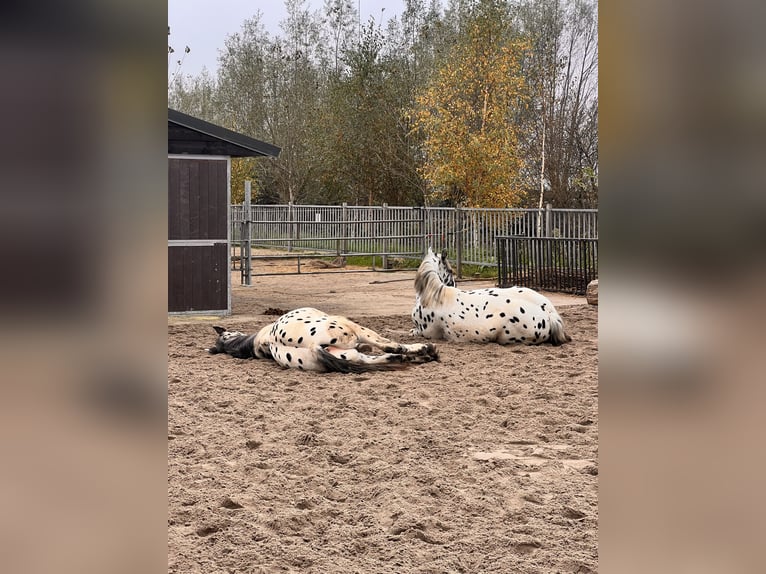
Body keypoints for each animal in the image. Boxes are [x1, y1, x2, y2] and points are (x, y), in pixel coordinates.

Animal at [208, 308, 438, 376]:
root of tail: (311, 346)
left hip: (348, 353)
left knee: (381, 357)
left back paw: (422, 356)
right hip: (352, 328)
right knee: (389, 346)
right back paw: (425, 350)